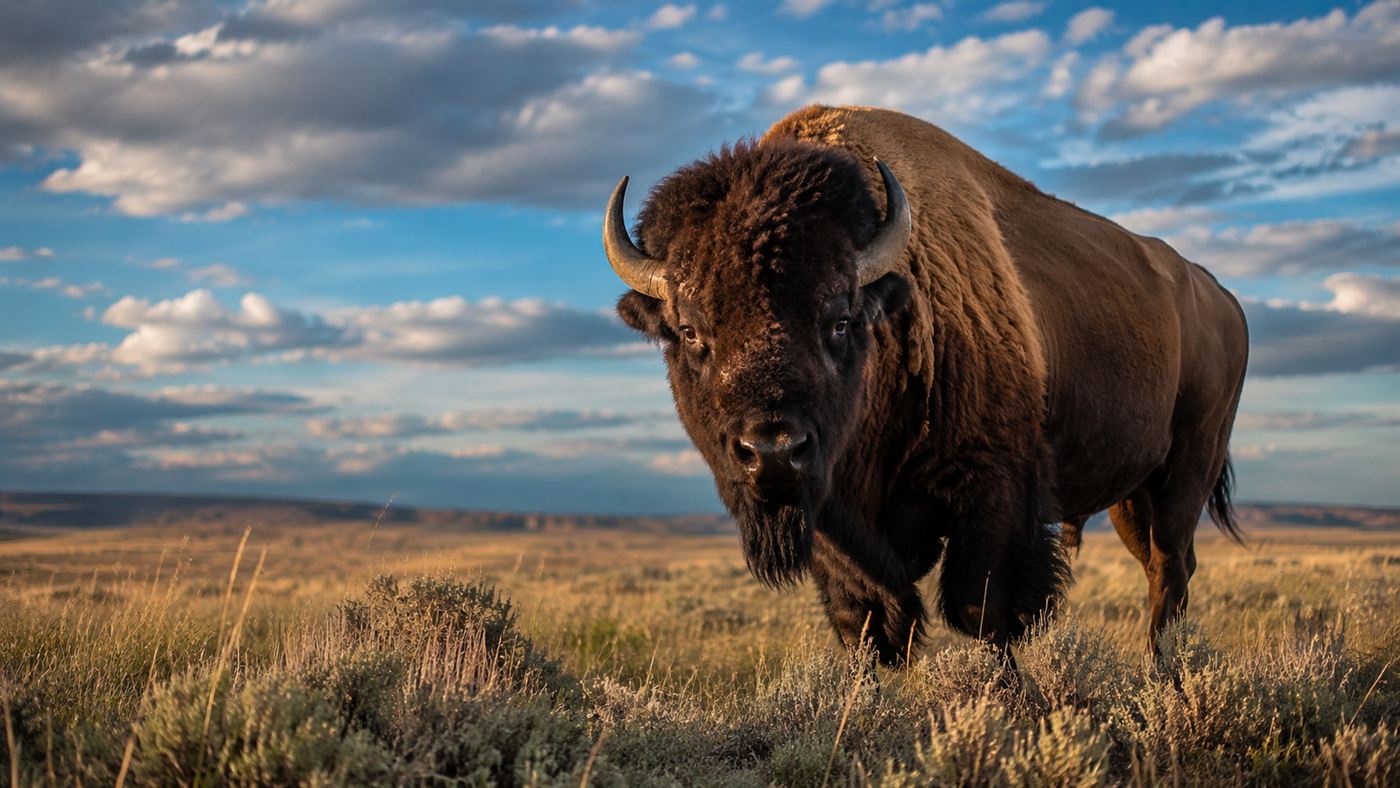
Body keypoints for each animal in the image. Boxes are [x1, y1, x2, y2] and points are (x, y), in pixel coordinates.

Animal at [601, 105, 1248, 665]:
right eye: (690, 330)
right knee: (1159, 564)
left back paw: (1164, 672)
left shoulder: (991, 492)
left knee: (1170, 567)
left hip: (1188, 465)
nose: (774, 452)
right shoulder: (835, 523)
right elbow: (864, 620)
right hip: (1130, 494)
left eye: (840, 319)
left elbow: (982, 611)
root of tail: (1220, 296)